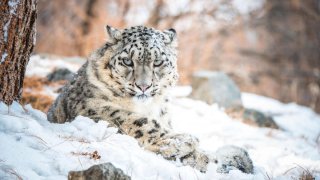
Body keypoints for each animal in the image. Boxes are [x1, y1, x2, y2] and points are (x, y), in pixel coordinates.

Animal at [47, 25, 252, 173]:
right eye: (128, 61)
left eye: (158, 62)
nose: (143, 86)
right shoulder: (90, 106)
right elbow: (135, 120)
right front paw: (182, 140)